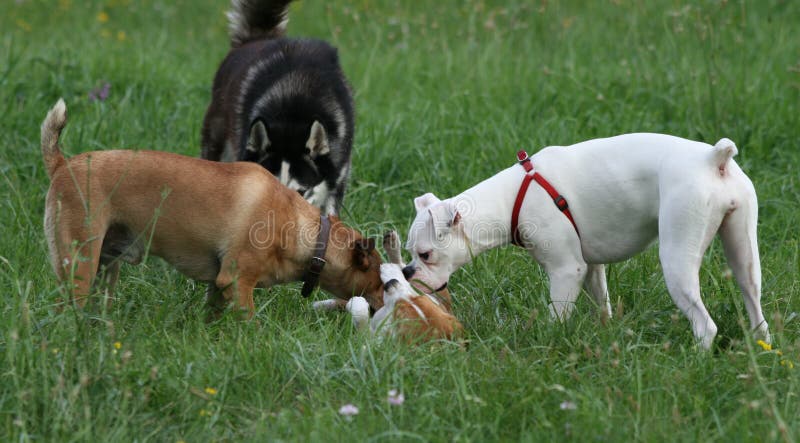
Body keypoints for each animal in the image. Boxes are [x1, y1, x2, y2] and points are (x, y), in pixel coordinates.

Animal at [40, 100, 384, 316]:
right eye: (383, 280)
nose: (386, 302)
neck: (306, 232)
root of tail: (62, 164)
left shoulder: (218, 288)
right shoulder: (236, 281)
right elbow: (250, 321)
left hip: (105, 268)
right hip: (81, 264)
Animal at [404, 133, 772, 350]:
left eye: (426, 254)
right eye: (409, 254)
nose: (407, 271)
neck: (511, 199)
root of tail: (715, 159)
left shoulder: (567, 272)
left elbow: (557, 317)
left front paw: (547, 343)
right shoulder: (592, 267)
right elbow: (602, 304)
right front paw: (606, 332)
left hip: (677, 261)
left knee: (705, 325)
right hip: (742, 253)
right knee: (754, 302)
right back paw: (762, 345)